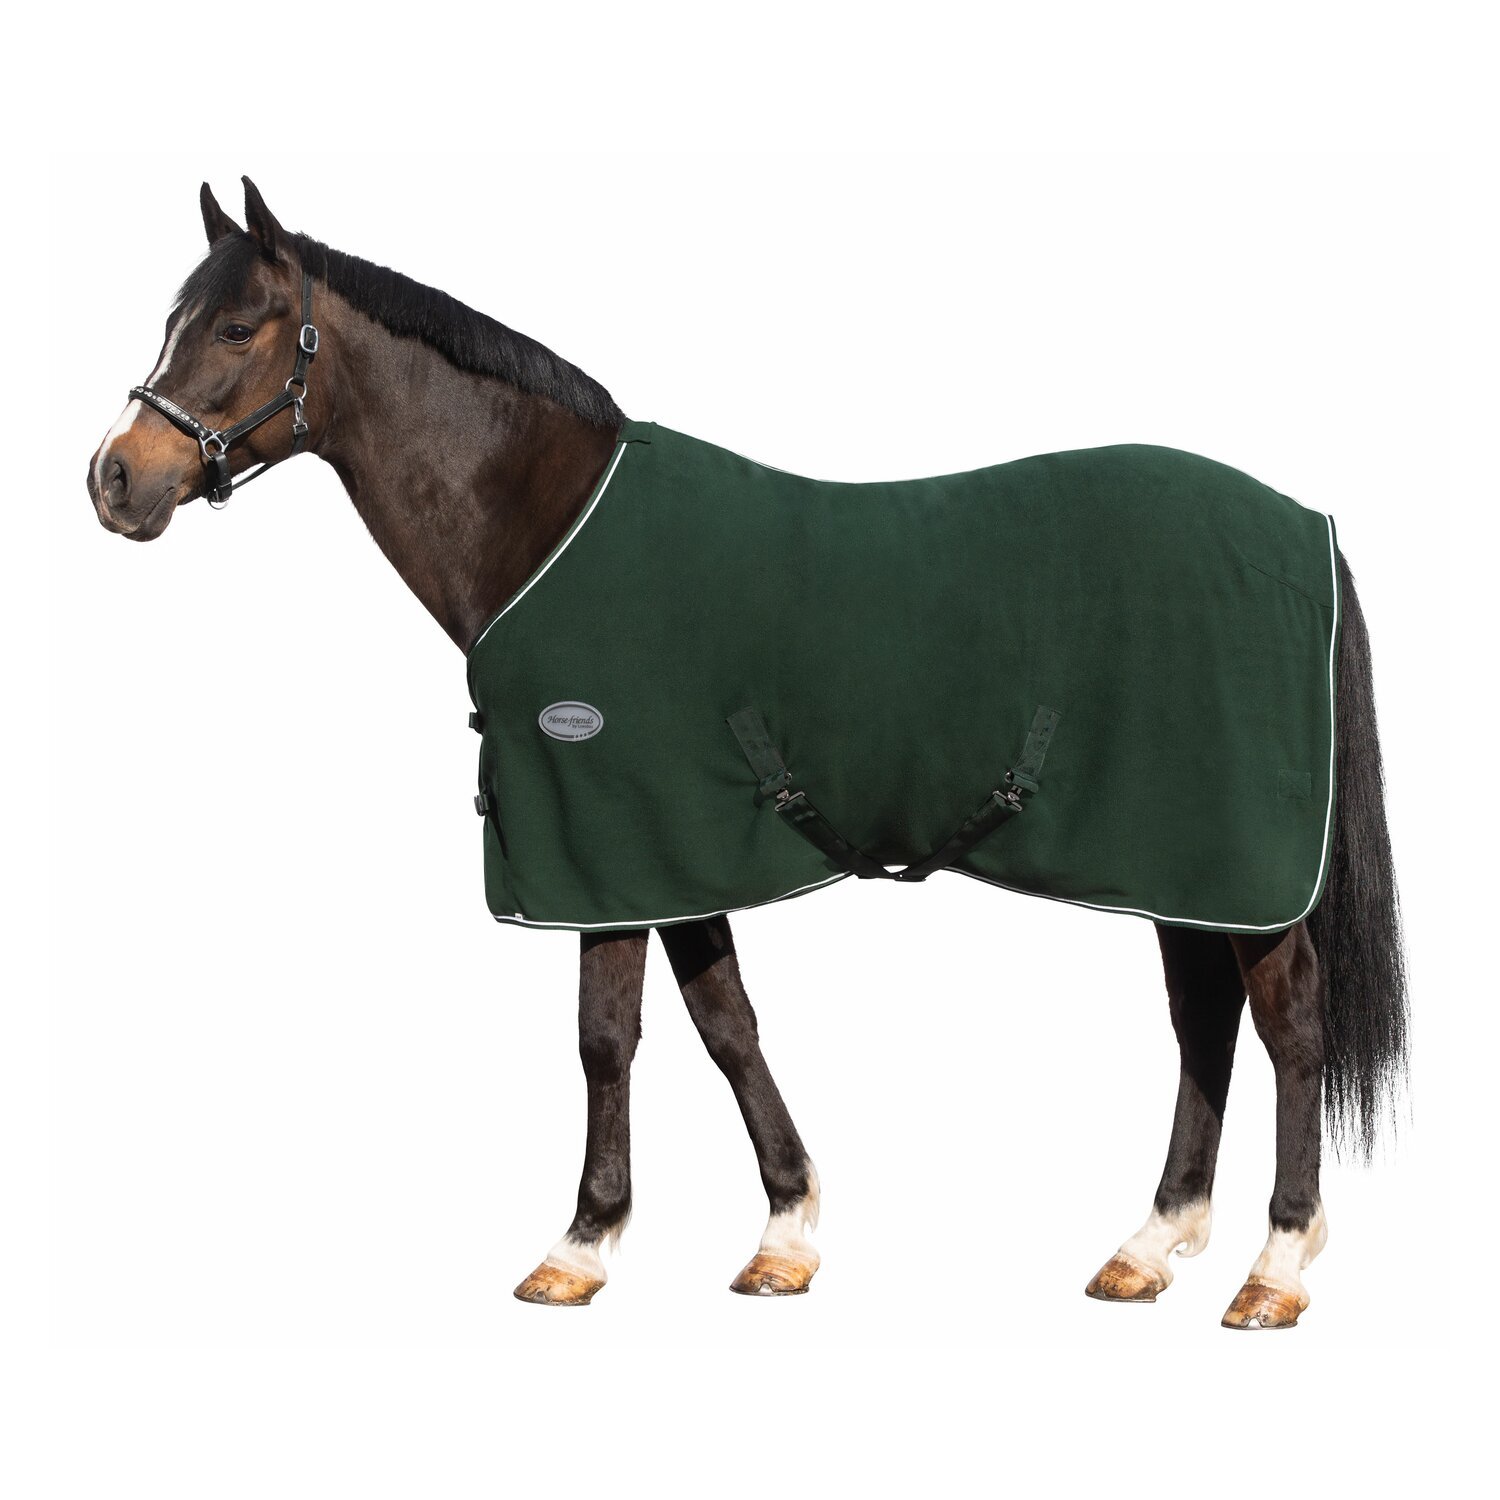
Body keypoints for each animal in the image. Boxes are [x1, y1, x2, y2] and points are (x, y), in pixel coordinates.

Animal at [86, 177, 1407, 1328]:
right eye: (173, 321)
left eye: (241, 326)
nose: (114, 479)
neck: (547, 529)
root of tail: (1302, 524)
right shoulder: (674, 849)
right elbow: (727, 1024)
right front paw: (785, 1234)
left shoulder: (605, 841)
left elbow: (606, 1039)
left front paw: (580, 1246)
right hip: (1176, 861)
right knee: (1203, 1021)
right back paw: (1149, 1246)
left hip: (1232, 862)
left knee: (1288, 1027)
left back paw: (1275, 1268)